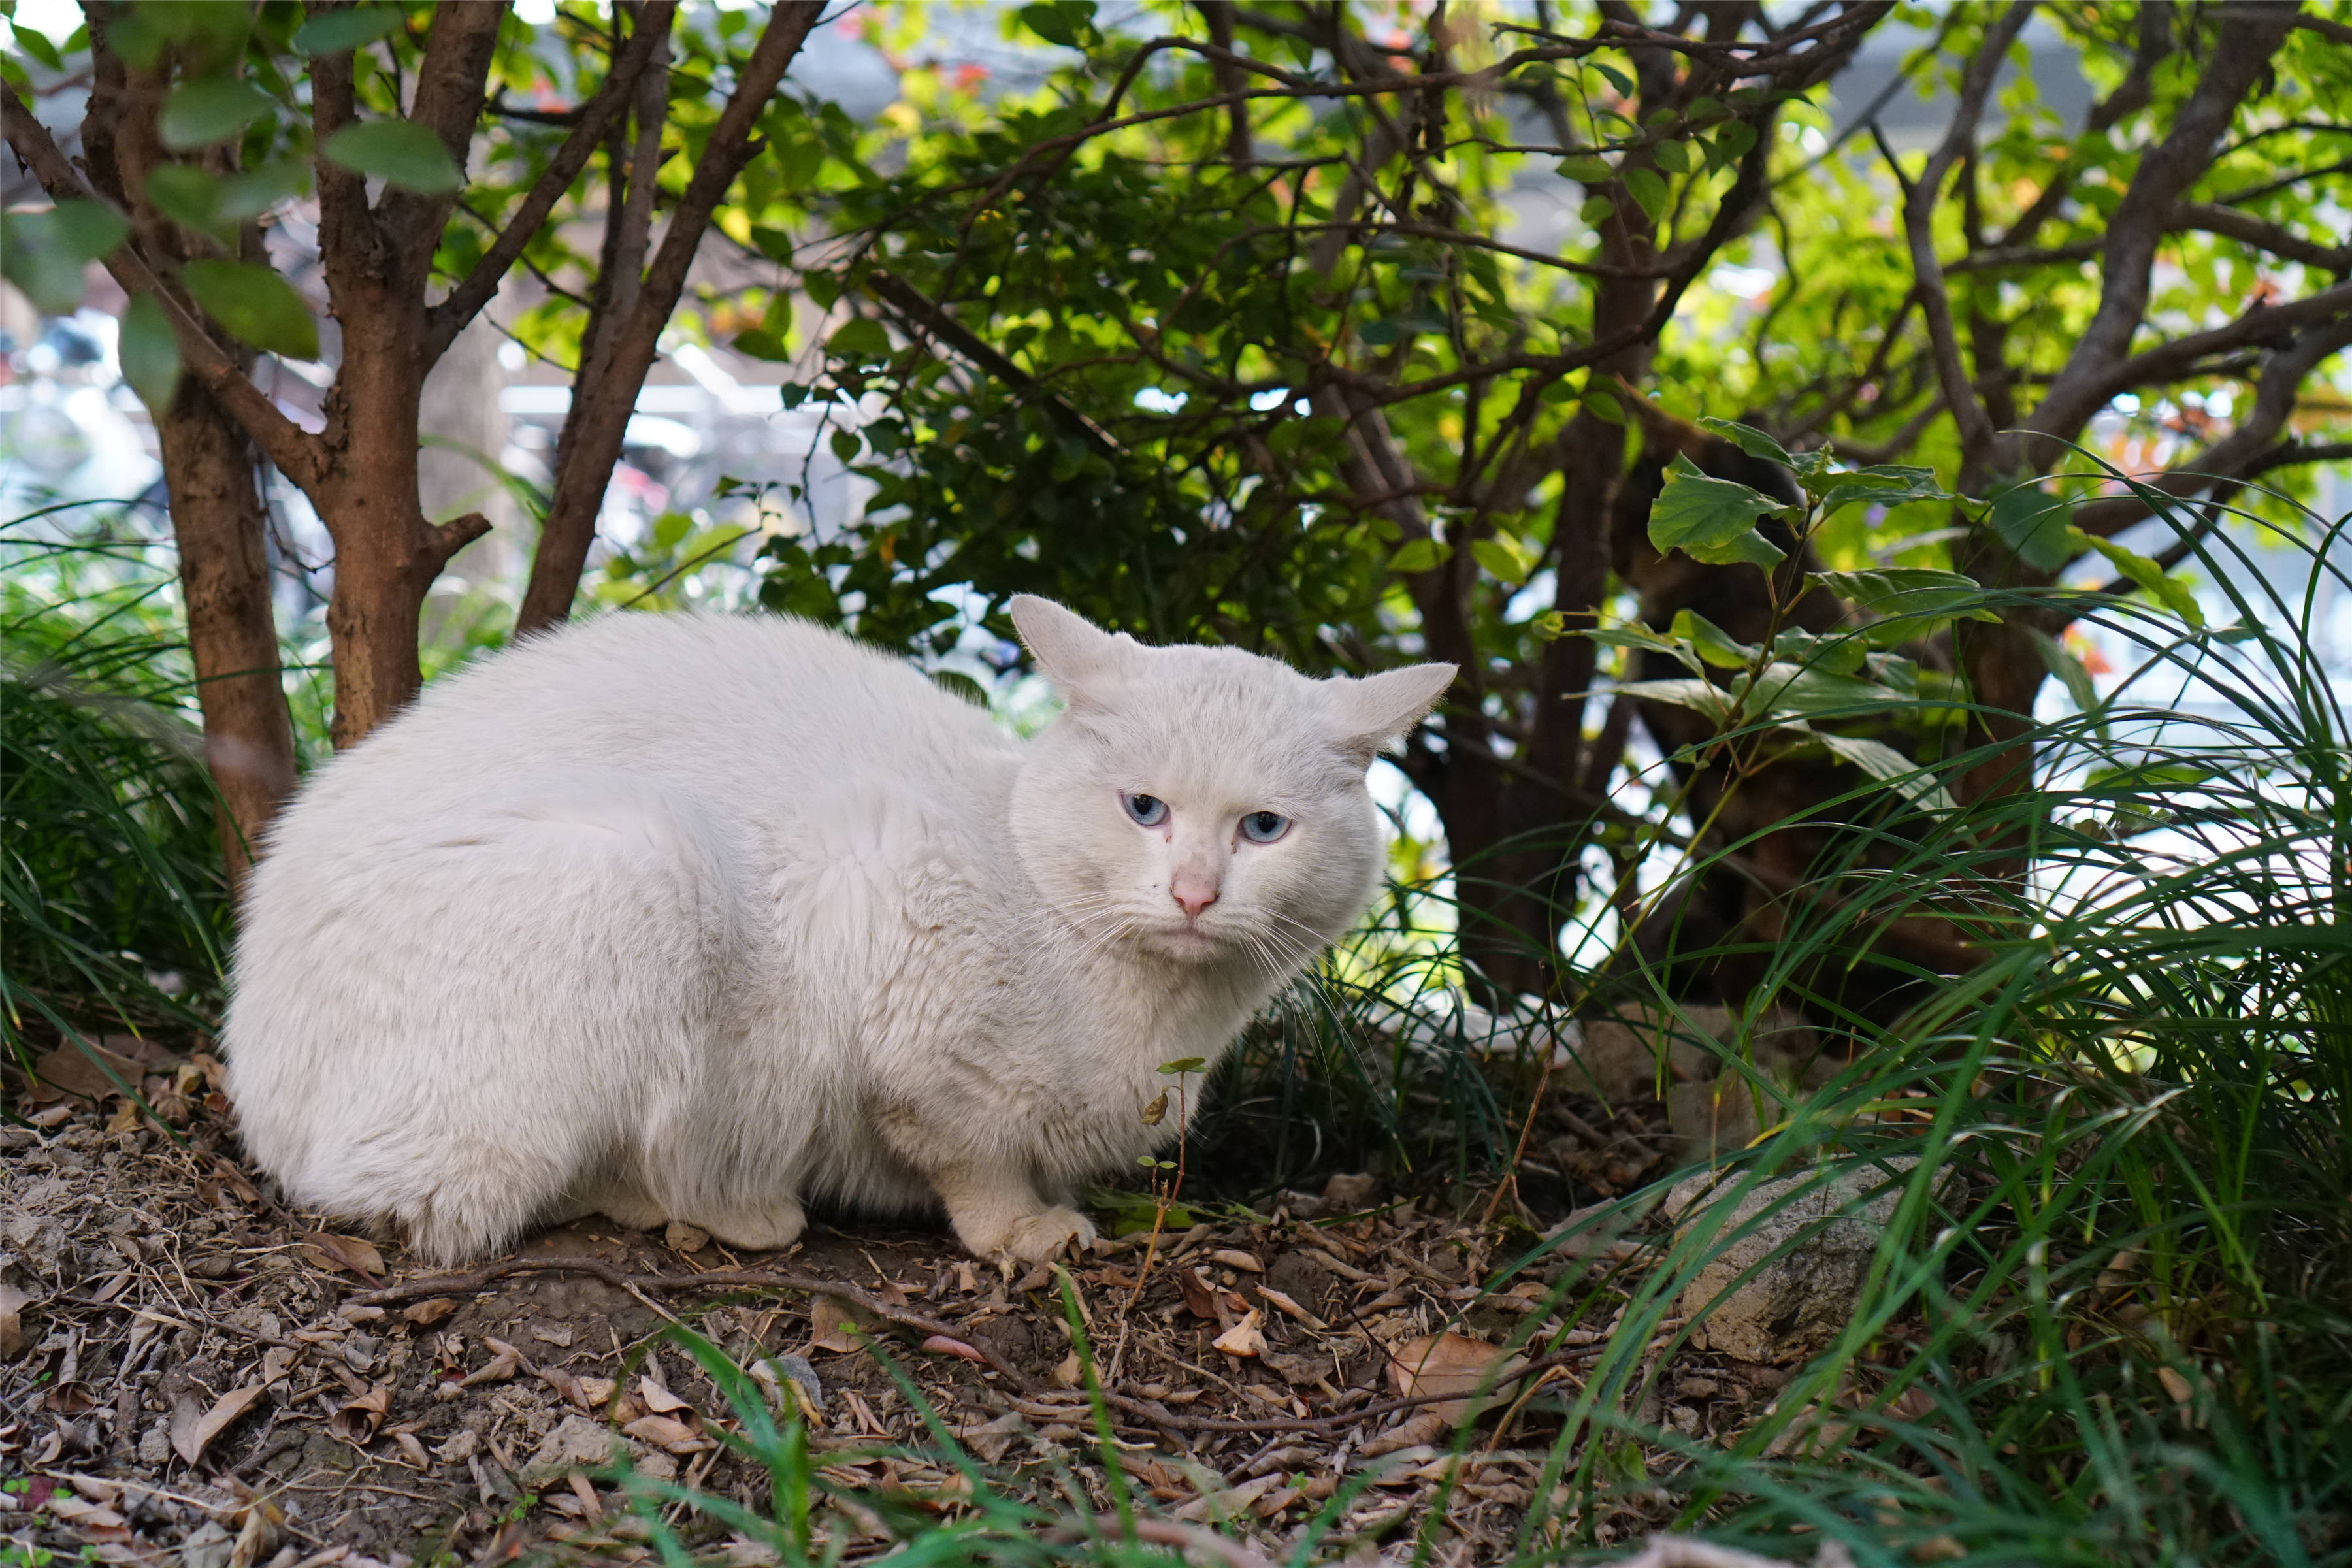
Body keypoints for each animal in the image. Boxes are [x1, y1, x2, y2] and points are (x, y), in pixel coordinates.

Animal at [221, 596, 1439, 1260]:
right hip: (646, 861)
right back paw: (728, 1208)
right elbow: (963, 1149)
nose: (1193, 893)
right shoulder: (876, 888)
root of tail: (252, 1084)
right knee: (462, 1189)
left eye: (1263, 829)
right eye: (1144, 810)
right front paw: (1024, 1231)